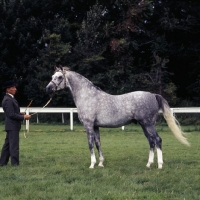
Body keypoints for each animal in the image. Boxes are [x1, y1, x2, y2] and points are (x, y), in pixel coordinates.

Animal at [45, 67, 189, 169]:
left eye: (59, 77)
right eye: (52, 76)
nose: (48, 89)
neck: (88, 96)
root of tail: (153, 95)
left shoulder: (88, 125)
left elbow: (90, 144)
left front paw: (92, 165)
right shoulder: (96, 126)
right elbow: (98, 143)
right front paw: (100, 163)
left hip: (148, 124)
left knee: (158, 140)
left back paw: (159, 165)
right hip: (144, 125)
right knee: (151, 141)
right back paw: (149, 164)